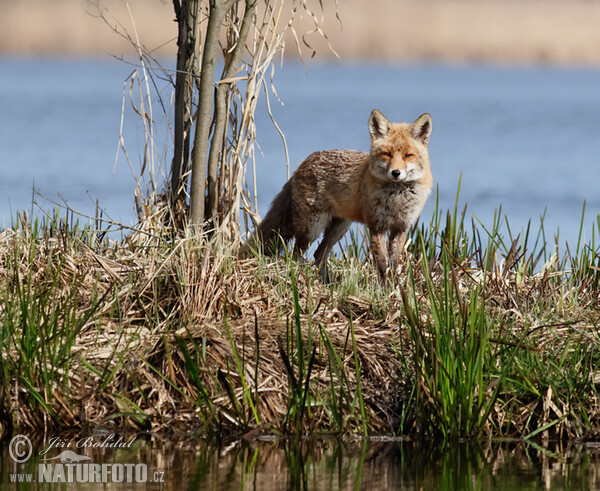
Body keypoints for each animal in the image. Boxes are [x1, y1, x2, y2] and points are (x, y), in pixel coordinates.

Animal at [241, 110, 434, 282]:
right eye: (387, 154)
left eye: (408, 155)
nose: (396, 173)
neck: (396, 197)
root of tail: (301, 165)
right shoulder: (376, 226)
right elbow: (381, 265)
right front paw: (385, 291)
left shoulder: (401, 228)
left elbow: (393, 265)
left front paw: (395, 290)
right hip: (312, 228)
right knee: (295, 254)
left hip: (339, 228)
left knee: (319, 253)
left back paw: (327, 283)